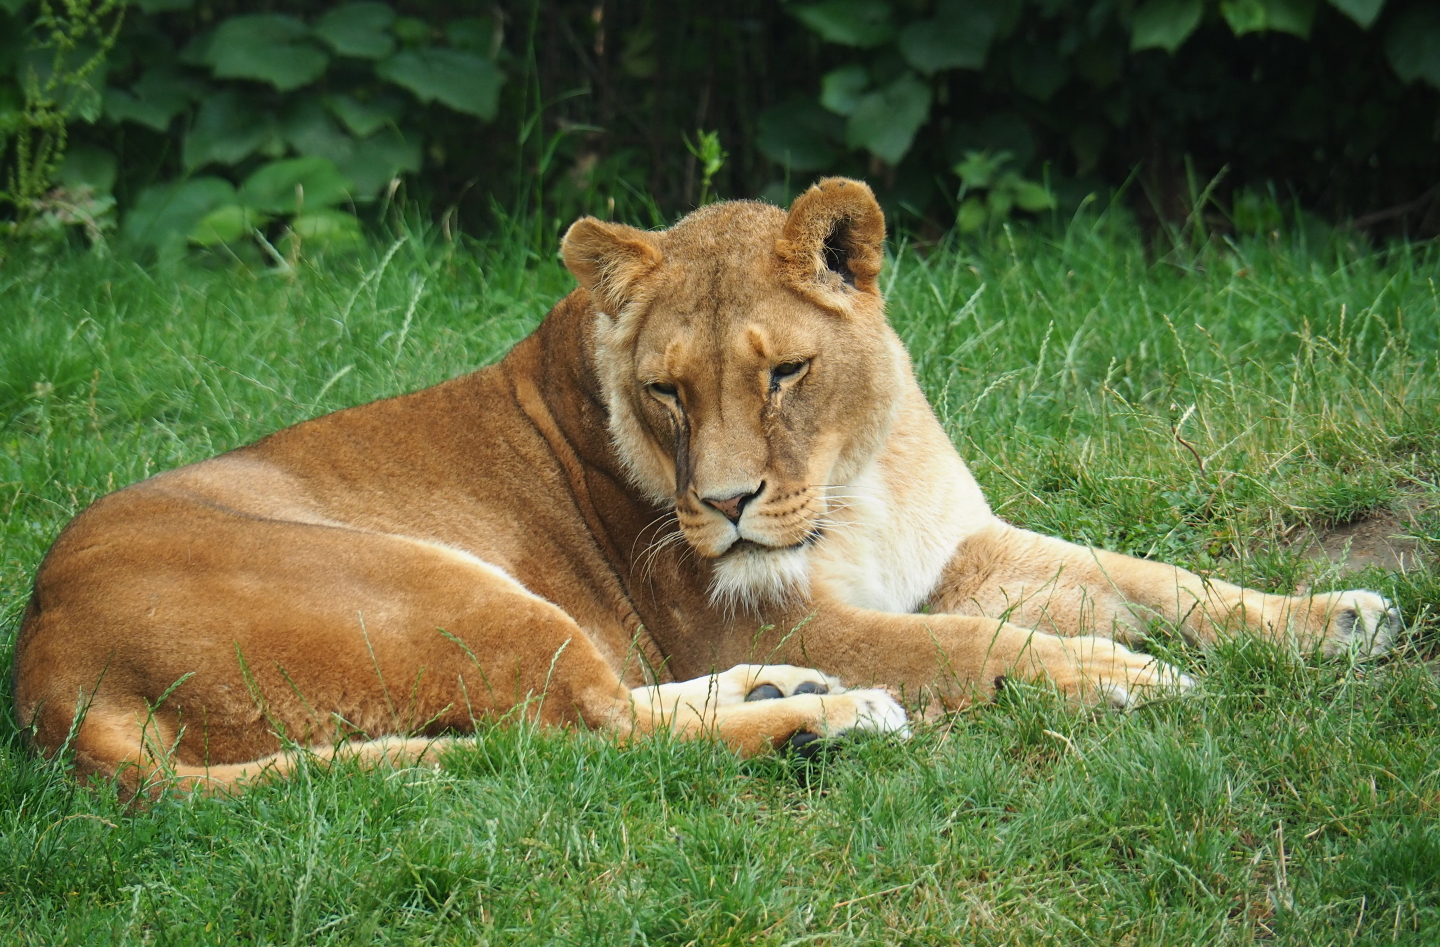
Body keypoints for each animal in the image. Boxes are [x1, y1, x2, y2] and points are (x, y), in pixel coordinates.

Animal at [13, 178, 1401, 795]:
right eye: (670, 391)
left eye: (783, 369)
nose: (728, 505)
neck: (857, 474)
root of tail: (43, 671)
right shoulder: (763, 608)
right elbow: (971, 645)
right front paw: (1128, 680)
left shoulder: (958, 547)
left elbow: (1155, 577)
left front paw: (1337, 617)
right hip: (437, 583)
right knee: (582, 734)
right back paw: (831, 719)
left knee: (587, 713)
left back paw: (792, 697)